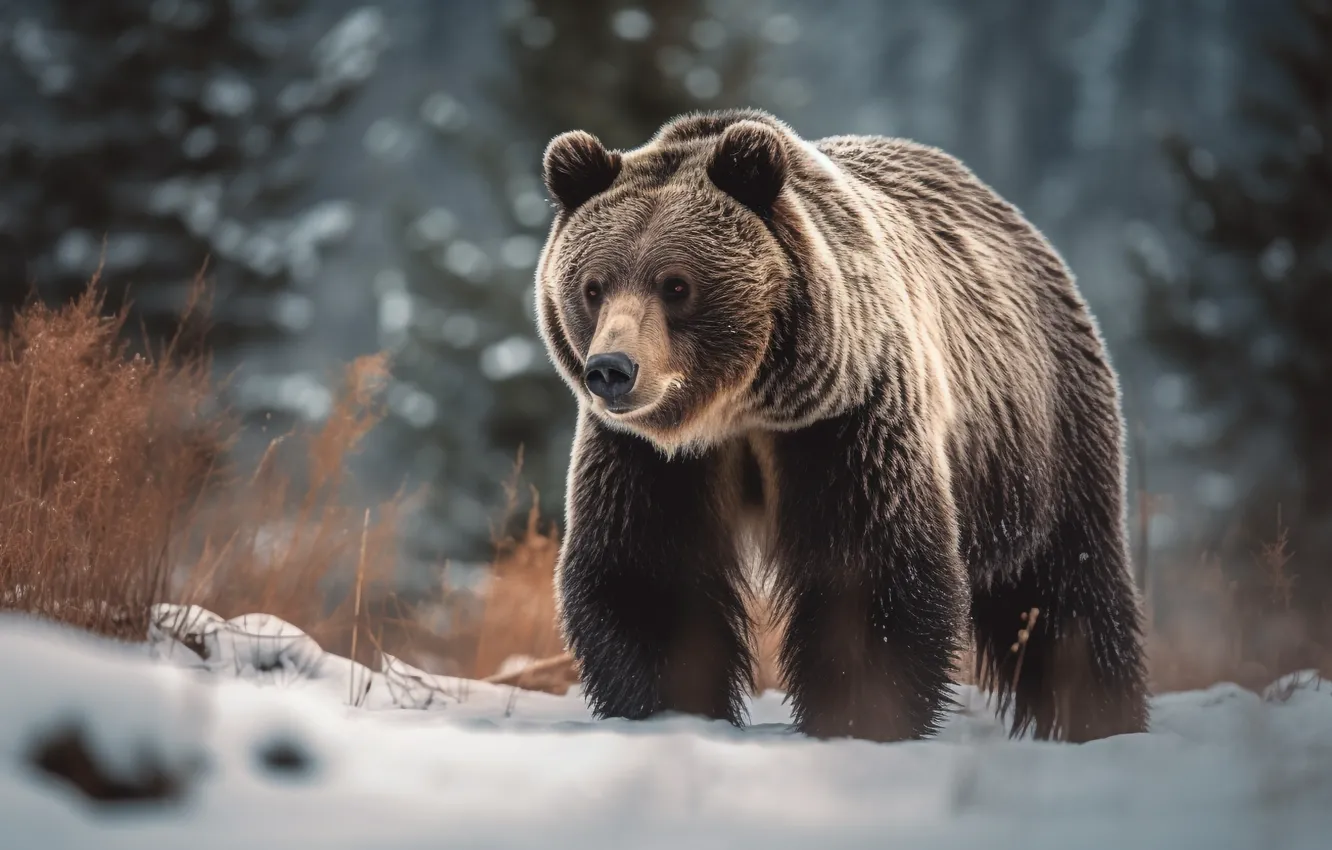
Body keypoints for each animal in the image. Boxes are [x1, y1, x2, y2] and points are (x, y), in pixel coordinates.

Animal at [533, 108, 1149, 744]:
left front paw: (861, 715)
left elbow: (868, 574)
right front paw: (669, 709)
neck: (741, 407)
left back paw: (1102, 715)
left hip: (1042, 438)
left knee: (1069, 587)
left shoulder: (847, 422)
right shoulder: (650, 457)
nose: (611, 370)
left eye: (676, 284)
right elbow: (649, 576)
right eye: (593, 286)